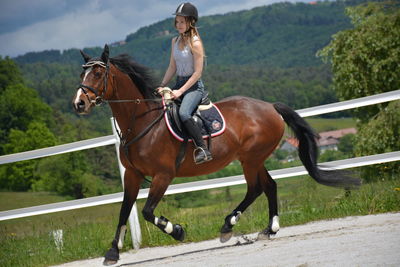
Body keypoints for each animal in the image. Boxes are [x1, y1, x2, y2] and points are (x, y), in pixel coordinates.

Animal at [73, 44, 360, 266]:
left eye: (97, 73)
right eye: (82, 72)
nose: (79, 103)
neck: (141, 122)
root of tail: (269, 106)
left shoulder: (163, 175)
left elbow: (146, 211)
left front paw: (177, 231)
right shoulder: (132, 175)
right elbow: (124, 210)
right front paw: (112, 253)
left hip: (251, 158)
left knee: (256, 188)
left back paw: (229, 226)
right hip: (251, 159)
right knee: (269, 186)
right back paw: (268, 229)